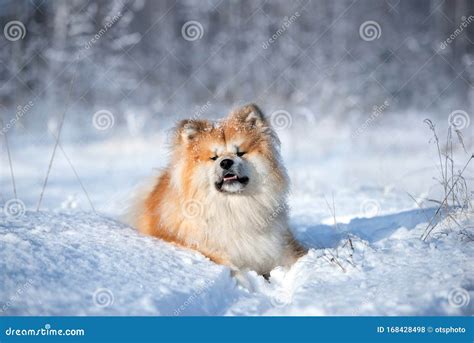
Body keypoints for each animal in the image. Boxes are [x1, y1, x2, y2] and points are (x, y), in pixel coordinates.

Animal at [133, 105, 306, 280]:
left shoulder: (282, 245)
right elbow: (232, 268)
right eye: (214, 157)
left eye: (240, 153)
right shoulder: (205, 248)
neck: (234, 206)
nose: (226, 162)